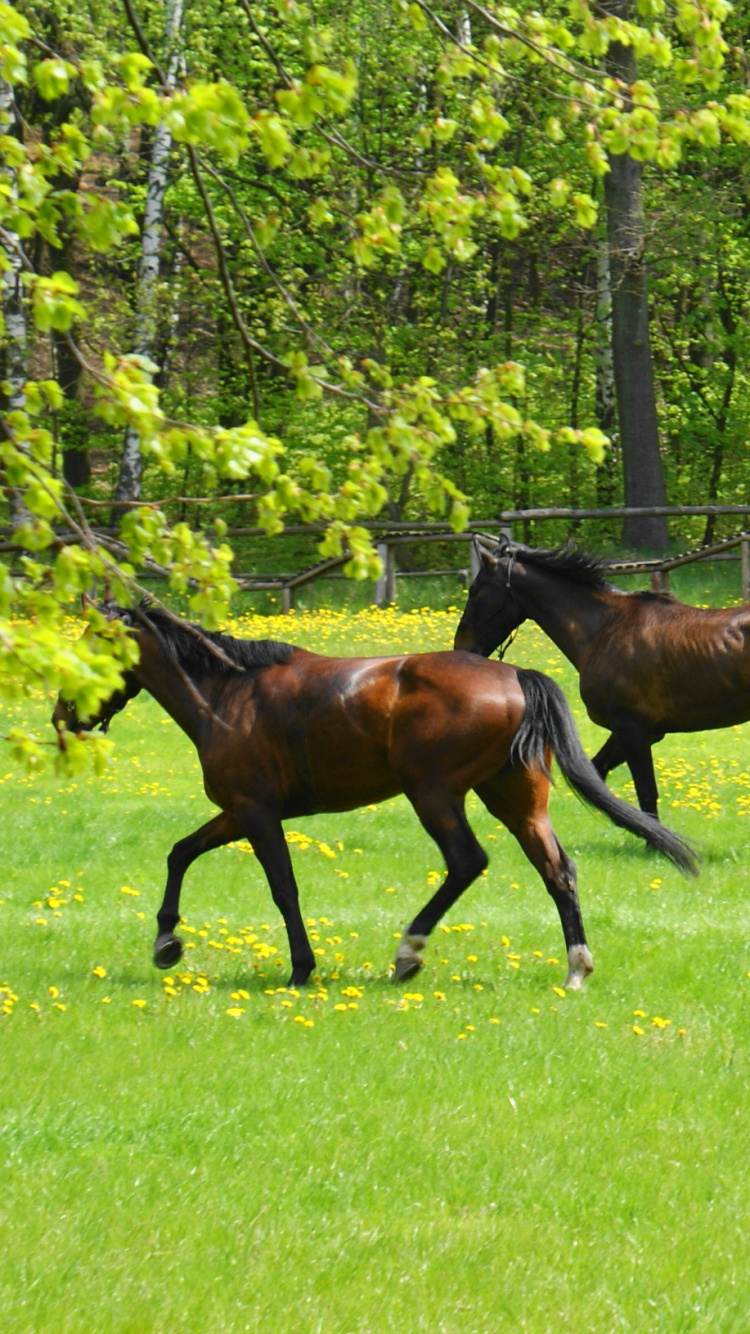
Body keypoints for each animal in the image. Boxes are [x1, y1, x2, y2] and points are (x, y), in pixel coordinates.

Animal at [52, 601, 697, 992]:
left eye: (93, 645)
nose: (62, 717)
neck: (227, 695)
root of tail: (517, 676)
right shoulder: (236, 812)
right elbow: (180, 852)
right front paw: (167, 941)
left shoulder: (256, 812)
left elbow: (282, 888)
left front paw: (301, 968)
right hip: (516, 801)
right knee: (557, 870)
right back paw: (576, 967)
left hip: (432, 793)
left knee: (467, 862)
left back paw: (409, 951)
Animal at [455, 534, 750, 817]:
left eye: (475, 590)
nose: (462, 647)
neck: (604, 629)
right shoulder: (636, 731)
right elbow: (598, 775)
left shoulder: (632, 729)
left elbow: (645, 795)